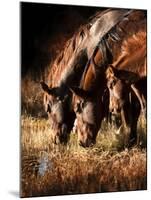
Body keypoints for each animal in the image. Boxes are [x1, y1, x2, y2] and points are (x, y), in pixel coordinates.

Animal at [71, 9, 147, 147]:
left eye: (78, 108)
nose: (81, 143)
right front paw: (131, 140)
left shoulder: (132, 84)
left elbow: (134, 111)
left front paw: (131, 141)